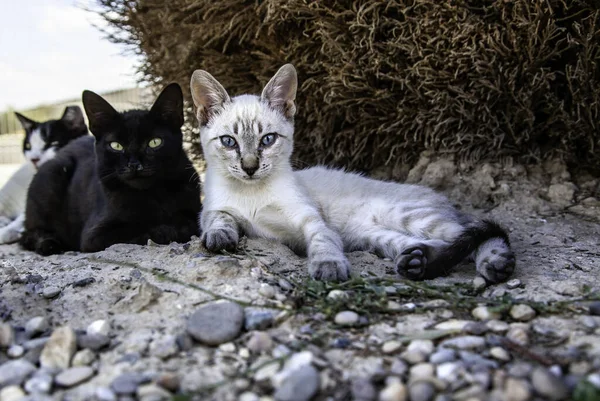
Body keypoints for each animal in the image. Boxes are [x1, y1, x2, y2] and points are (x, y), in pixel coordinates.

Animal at [19, 83, 202, 255]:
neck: (153, 195)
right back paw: (49, 244)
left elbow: (189, 222)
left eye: (154, 142)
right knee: (29, 233)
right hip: (53, 174)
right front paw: (165, 229)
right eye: (116, 146)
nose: (134, 164)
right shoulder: (93, 235)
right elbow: (138, 229)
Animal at [191, 64, 516, 282]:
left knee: (479, 233)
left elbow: (323, 240)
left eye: (267, 140)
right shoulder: (214, 209)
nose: (250, 167)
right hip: (376, 237)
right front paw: (219, 237)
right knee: (442, 244)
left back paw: (496, 263)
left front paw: (328, 266)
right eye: (229, 142)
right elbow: (219, 219)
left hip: (411, 217)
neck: (252, 193)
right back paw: (417, 263)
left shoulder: (311, 220)